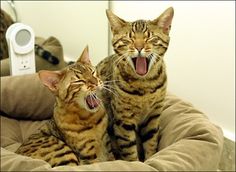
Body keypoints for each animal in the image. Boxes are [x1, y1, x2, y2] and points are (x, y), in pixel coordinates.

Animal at [97, 7, 174, 161]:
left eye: (150, 38)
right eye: (128, 39)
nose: (139, 47)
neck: (145, 85)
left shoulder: (153, 116)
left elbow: (151, 142)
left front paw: (150, 159)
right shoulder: (123, 120)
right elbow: (129, 150)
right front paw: (135, 163)